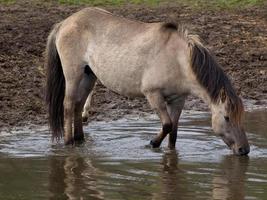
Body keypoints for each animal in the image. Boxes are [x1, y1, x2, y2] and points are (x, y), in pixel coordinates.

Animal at [45, 7, 250, 155]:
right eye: (227, 117)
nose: (244, 150)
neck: (178, 59)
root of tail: (65, 23)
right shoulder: (153, 95)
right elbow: (167, 125)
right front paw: (152, 143)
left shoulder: (178, 100)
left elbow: (174, 132)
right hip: (73, 75)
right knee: (69, 105)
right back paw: (69, 143)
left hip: (89, 76)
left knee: (79, 106)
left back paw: (80, 139)